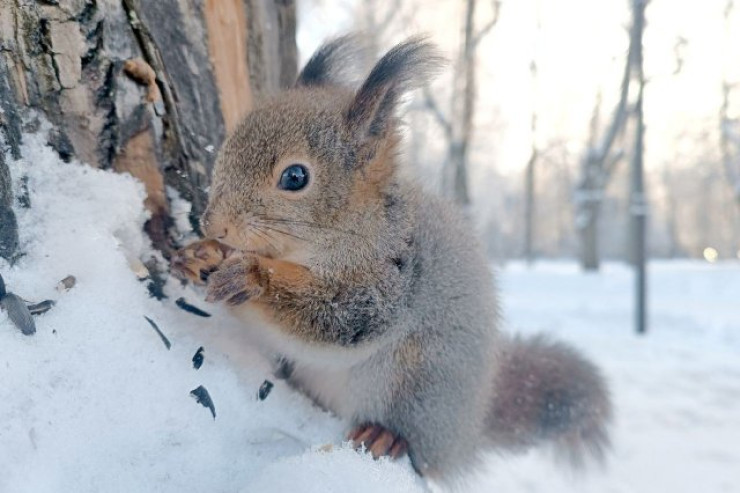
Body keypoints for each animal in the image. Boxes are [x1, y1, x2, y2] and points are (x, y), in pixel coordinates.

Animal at [172, 35, 612, 480]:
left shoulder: (389, 283)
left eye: (295, 177)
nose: (214, 225)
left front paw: (252, 275)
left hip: (417, 385)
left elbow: (335, 318)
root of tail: (465, 431)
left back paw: (386, 436)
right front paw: (203, 254)